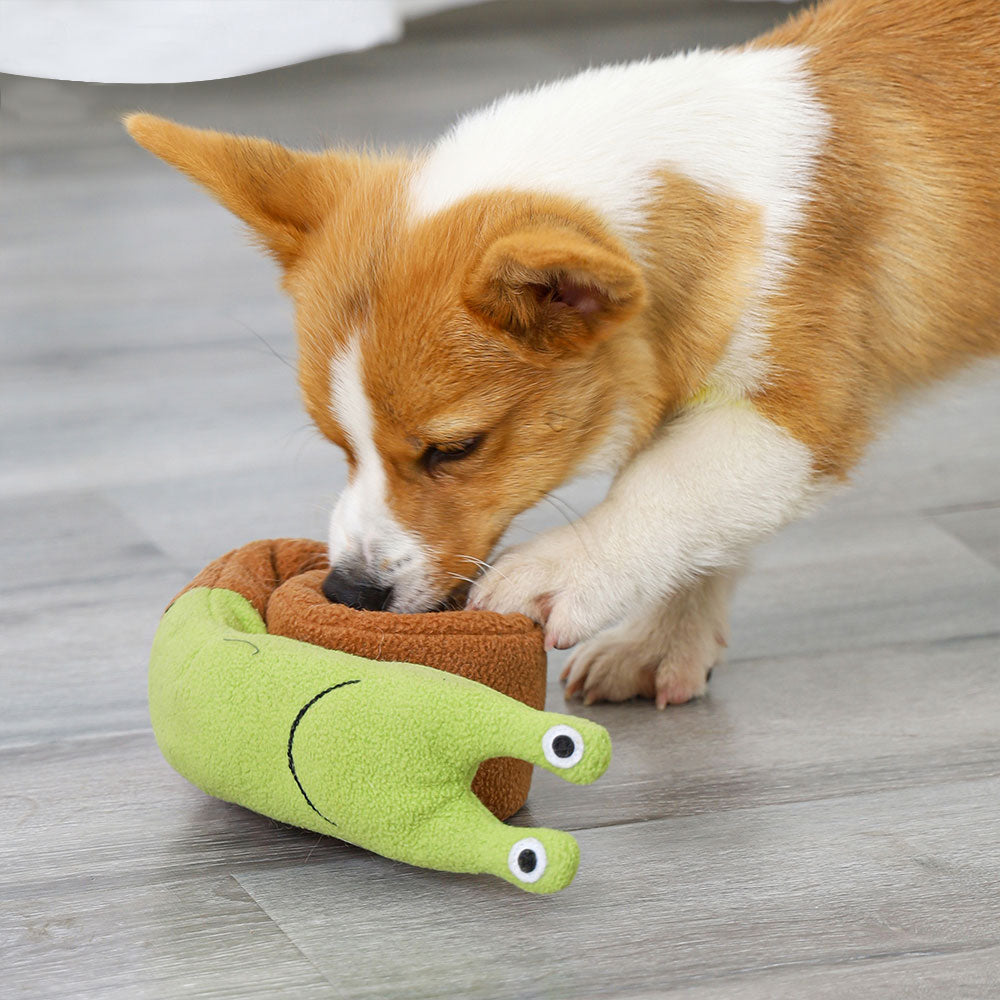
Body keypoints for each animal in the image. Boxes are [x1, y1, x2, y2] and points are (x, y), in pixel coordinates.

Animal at [127, 0, 1000, 708]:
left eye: (456, 449)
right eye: (339, 444)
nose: (351, 591)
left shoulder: (793, 414)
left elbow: (666, 490)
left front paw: (566, 571)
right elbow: (706, 527)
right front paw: (661, 645)